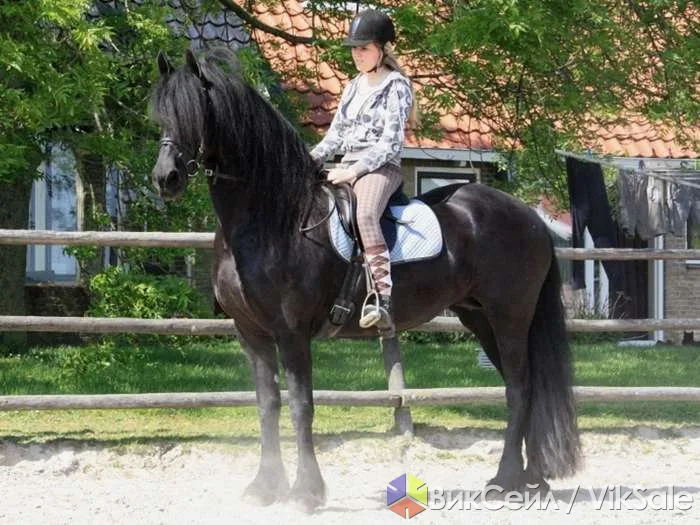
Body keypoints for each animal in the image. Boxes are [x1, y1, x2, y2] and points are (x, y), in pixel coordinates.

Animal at [150, 48, 580, 512]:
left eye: (196, 112)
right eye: (161, 115)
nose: (165, 178)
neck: (272, 220)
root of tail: (527, 217)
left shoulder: (291, 333)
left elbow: (301, 406)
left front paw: (307, 492)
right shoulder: (252, 334)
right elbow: (268, 406)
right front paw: (265, 487)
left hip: (510, 317)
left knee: (519, 388)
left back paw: (506, 480)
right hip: (479, 318)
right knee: (524, 387)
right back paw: (530, 479)